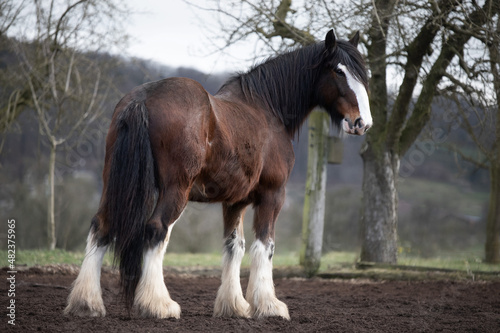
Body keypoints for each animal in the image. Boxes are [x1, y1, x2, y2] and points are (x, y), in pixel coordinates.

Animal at [64, 30, 372, 320]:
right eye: (339, 71)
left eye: (363, 72)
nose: (362, 123)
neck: (267, 109)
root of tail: (142, 98)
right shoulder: (273, 195)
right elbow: (265, 246)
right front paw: (269, 305)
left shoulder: (235, 202)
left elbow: (234, 246)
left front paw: (234, 305)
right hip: (175, 191)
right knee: (156, 229)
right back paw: (158, 305)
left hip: (113, 184)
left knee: (101, 227)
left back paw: (86, 302)